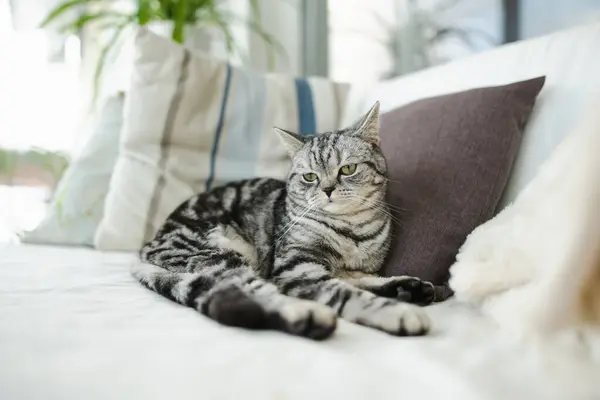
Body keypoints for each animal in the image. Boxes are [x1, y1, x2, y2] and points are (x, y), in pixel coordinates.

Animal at [131, 101, 434, 340]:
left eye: (347, 169)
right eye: (310, 177)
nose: (327, 189)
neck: (352, 229)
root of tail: (147, 246)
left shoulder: (343, 267)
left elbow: (356, 277)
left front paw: (398, 285)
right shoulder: (296, 266)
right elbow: (343, 291)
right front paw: (395, 312)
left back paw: (408, 288)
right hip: (219, 253)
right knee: (253, 291)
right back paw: (307, 314)